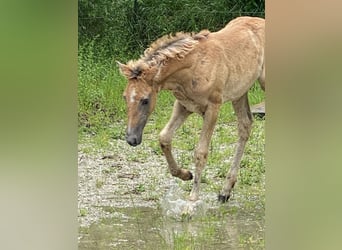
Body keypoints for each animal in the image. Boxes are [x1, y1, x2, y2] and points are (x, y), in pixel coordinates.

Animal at [119, 16, 266, 203]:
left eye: (145, 100)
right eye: (125, 97)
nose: (132, 139)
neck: (194, 67)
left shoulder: (213, 108)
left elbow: (200, 152)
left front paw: (193, 197)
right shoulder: (183, 105)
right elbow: (164, 137)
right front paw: (185, 174)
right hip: (239, 93)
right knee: (245, 127)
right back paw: (225, 191)